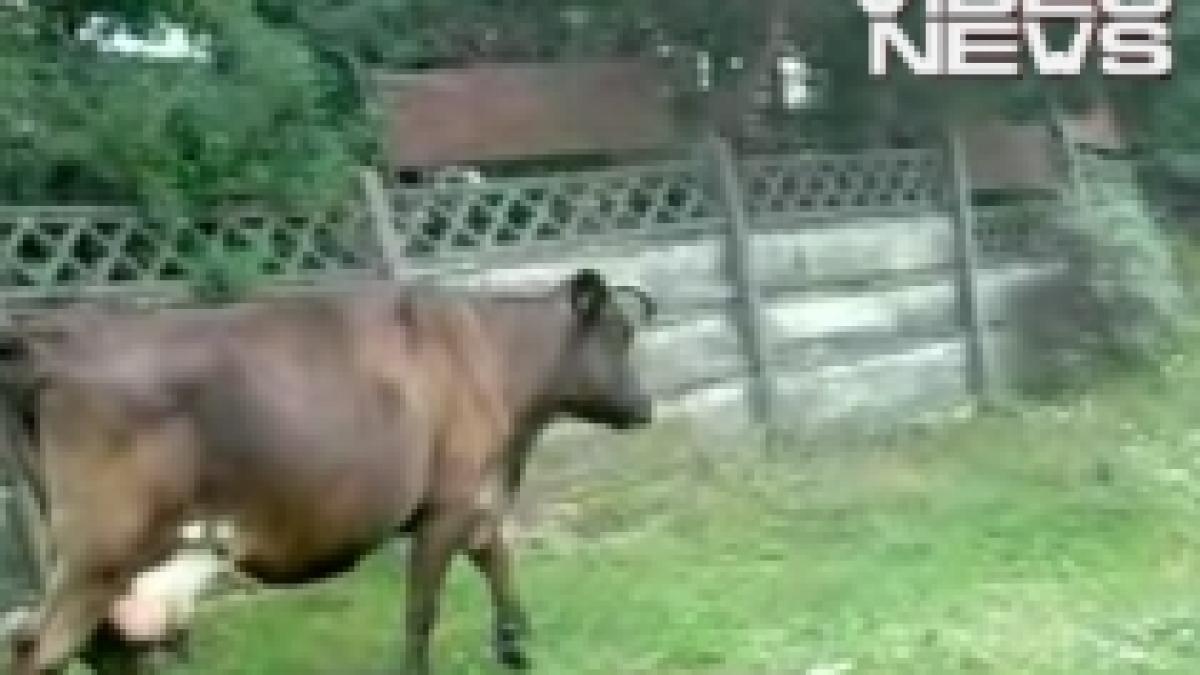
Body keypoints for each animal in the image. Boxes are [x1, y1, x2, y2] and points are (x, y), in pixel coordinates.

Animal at [7, 268, 656, 675]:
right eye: (620, 334)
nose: (646, 406)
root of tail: (49, 336)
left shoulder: (479, 499)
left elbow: (502, 573)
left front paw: (519, 653)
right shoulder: (446, 506)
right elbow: (422, 609)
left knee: (103, 648)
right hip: (102, 551)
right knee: (38, 650)